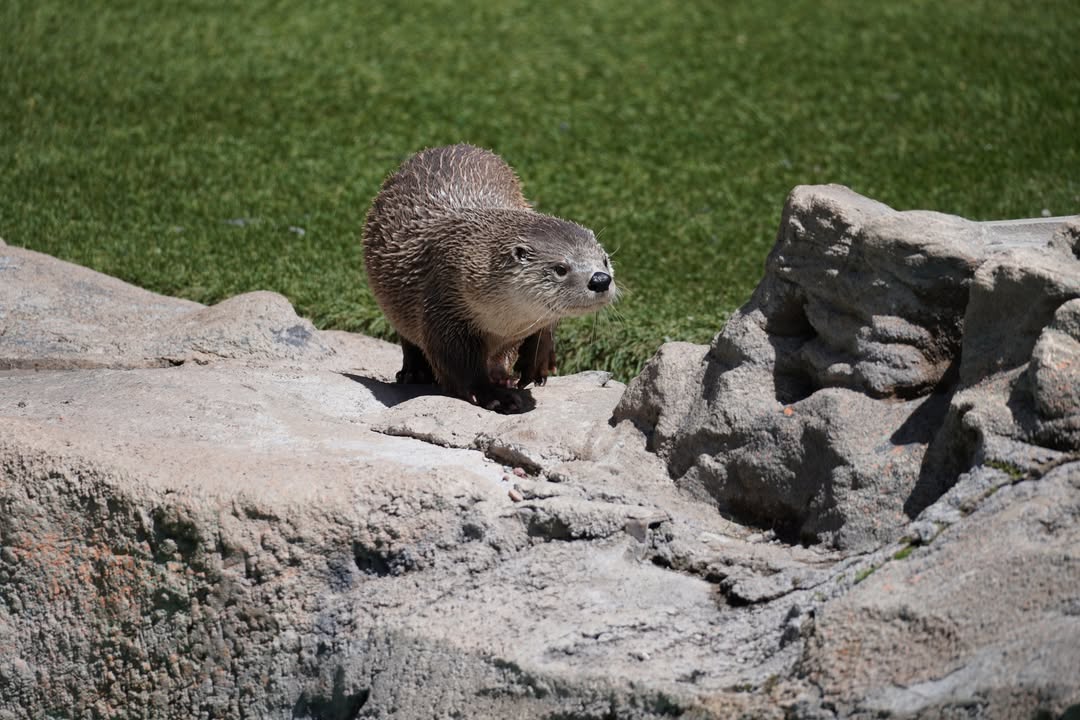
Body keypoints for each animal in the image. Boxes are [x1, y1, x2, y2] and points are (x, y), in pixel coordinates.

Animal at [362, 144, 616, 411]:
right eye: (560, 268)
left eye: (604, 260)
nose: (600, 280)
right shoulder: (442, 299)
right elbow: (458, 363)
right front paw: (495, 396)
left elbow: (541, 330)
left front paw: (533, 366)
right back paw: (414, 373)